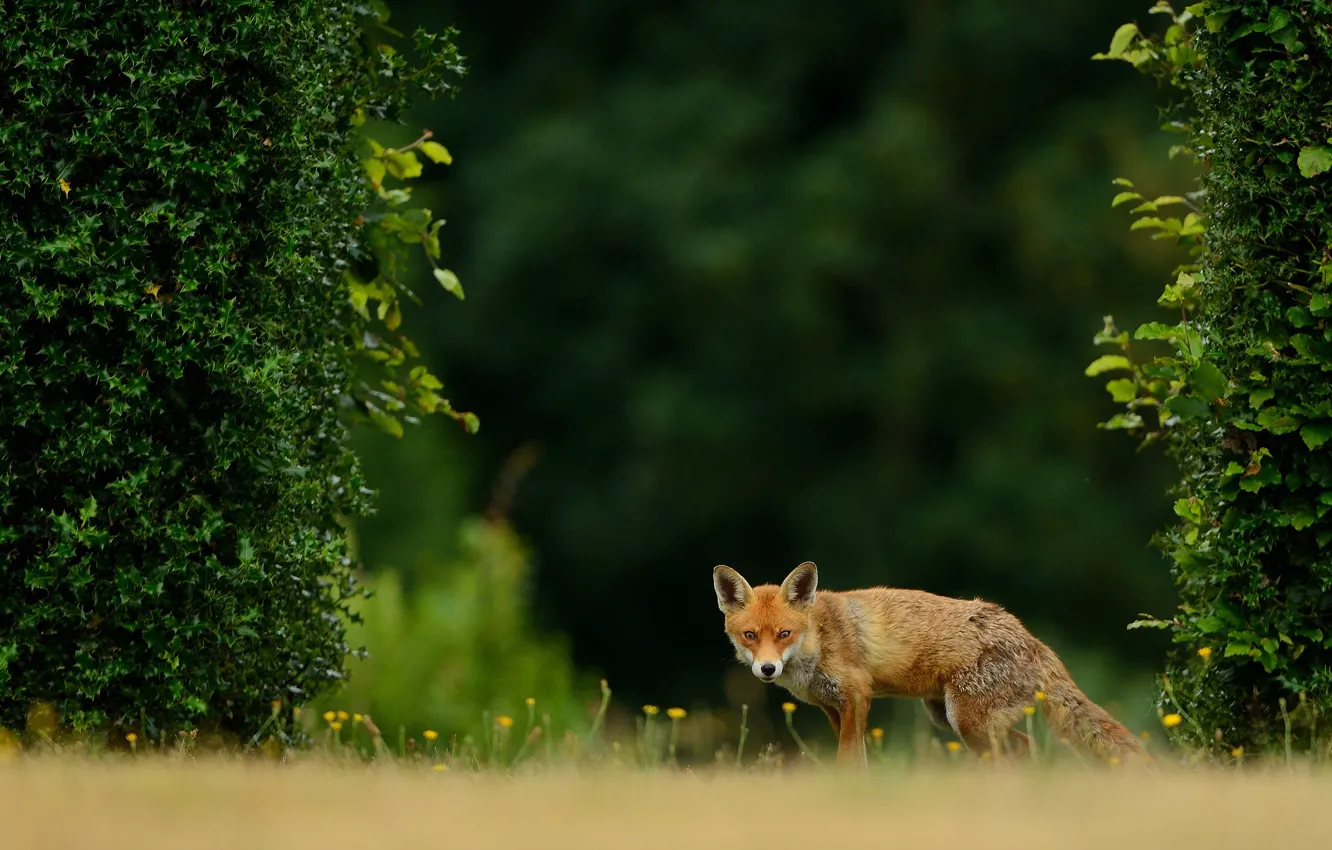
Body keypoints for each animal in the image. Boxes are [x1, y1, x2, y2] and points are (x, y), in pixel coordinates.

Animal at [712, 561, 1147, 767]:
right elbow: (857, 757)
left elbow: (848, 758)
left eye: (784, 633)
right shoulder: (834, 708)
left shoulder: (857, 695)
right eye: (750, 636)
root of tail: (1033, 640)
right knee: (1025, 747)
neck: (817, 639)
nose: (767, 670)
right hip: (951, 719)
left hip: (967, 721)